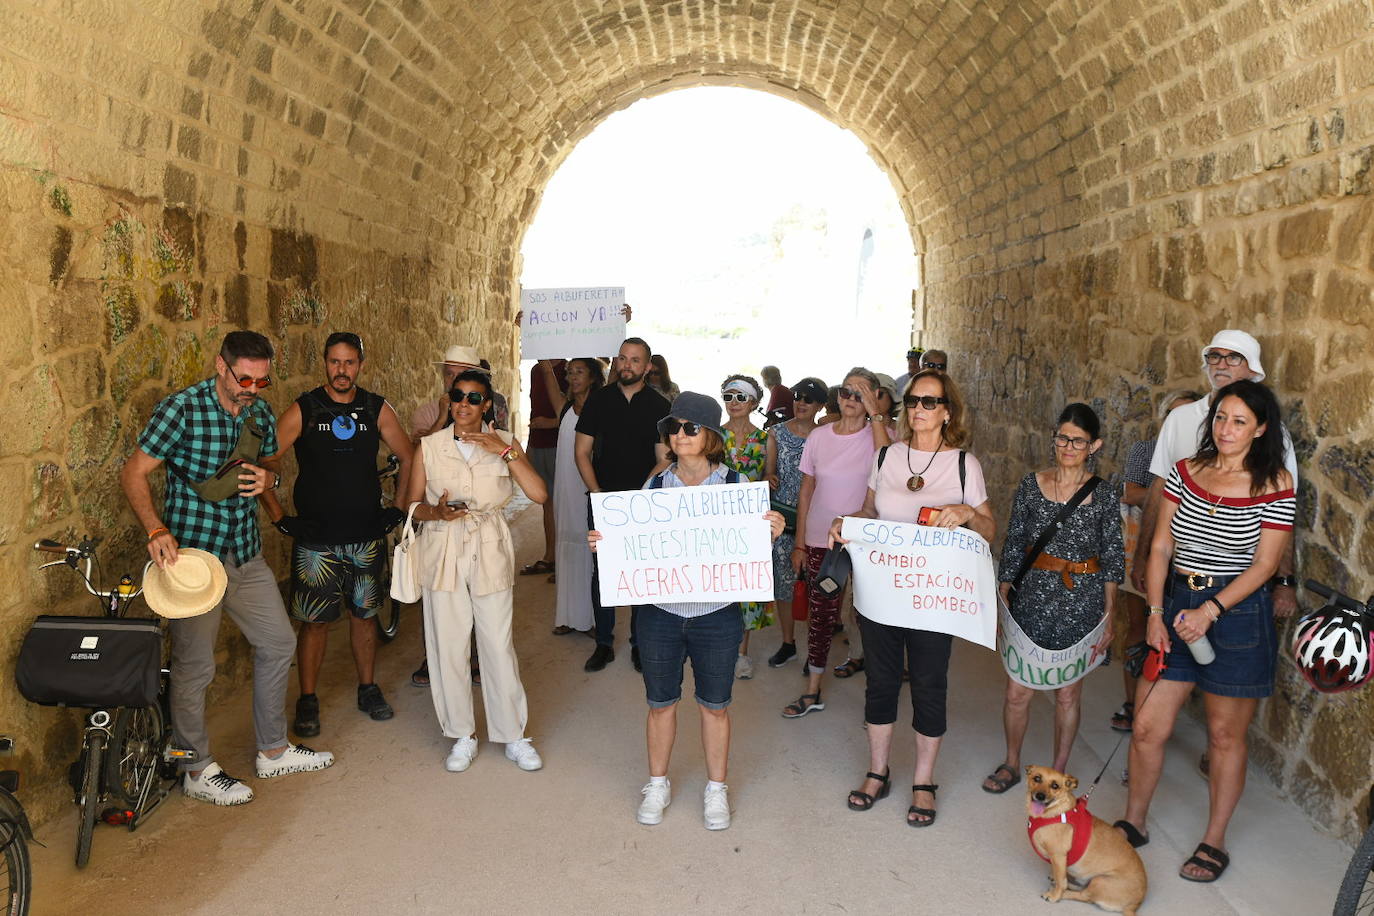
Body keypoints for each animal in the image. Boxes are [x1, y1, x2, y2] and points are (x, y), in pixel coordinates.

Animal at [1027, 769, 1143, 916]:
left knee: (1085, 896)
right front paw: (1055, 877)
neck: (1056, 812)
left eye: (1055, 786)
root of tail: (1134, 906)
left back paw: (1064, 893)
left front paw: (1055, 896)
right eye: (1037, 778)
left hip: (1099, 881)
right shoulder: (1058, 861)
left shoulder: (1058, 856)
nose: (1040, 796)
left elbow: (1061, 881)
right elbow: (1059, 875)